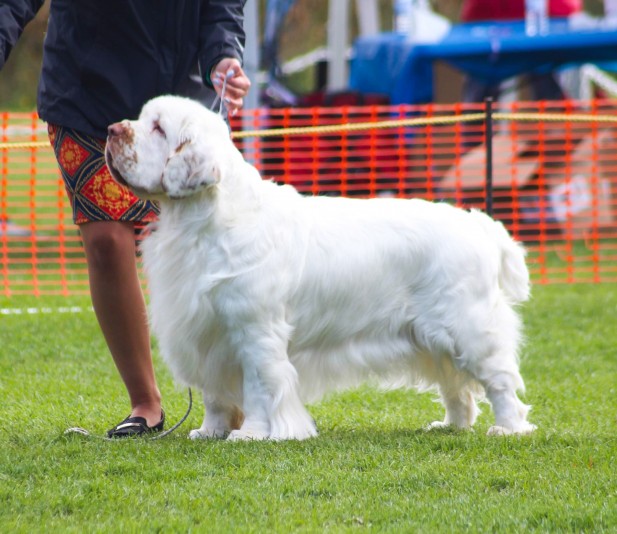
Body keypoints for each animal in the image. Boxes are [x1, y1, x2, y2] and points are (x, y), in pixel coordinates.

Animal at [104, 94, 536, 442]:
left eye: (158, 128)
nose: (111, 129)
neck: (205, 221)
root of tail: (478, 223)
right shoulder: (208, 333)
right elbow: (215, 395)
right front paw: (210, 431)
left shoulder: (254, 332)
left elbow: (259, 387)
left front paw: (252, 434)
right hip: (433, 338)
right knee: (456, 386)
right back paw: (450, 426)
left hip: (468, 328)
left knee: (500, 381)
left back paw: (508, 428)